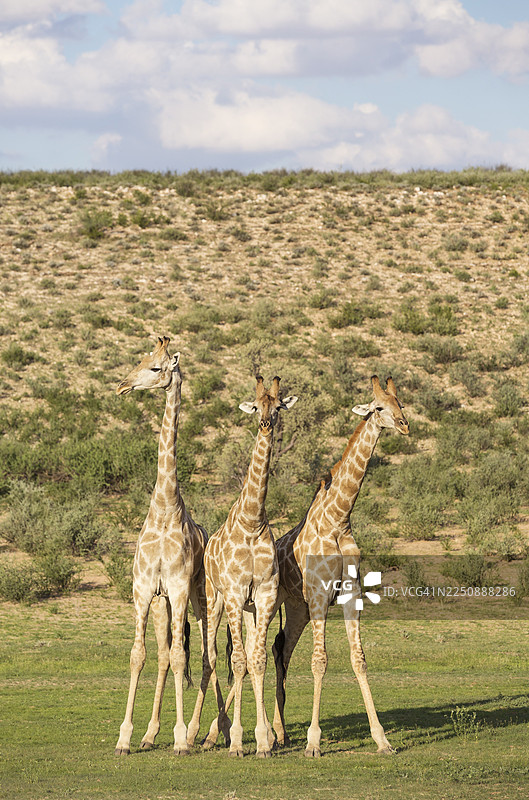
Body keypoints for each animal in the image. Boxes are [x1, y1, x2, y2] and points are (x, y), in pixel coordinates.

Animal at [114, 336, 228, 756]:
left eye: (155, 368)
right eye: (142, 358)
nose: (122, 386)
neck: (164, 509)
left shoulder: (178, 589)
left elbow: (181, 658)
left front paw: (180, 739)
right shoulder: (145, 589)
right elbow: (140, 656)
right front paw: (127, 737)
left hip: (204, 599)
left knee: (208, 656)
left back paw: (204, 733)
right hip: (164, 603)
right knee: (165, 655)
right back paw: (151, 734)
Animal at [271, 375, 409, 757]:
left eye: (402, 403)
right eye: (379, 407)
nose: (405, 425)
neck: (338, 518)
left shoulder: (350, 593)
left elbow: (358, 659)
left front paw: (382, 739)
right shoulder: (319, 595)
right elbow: (320, 661)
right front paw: (313, 743)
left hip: (297, 607)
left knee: (279, 650)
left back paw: (279, 732)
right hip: (274, 603)